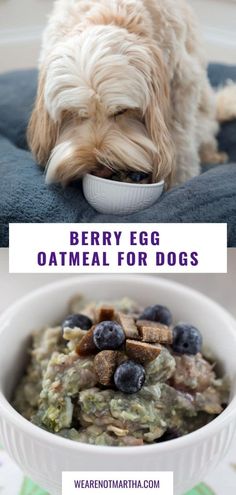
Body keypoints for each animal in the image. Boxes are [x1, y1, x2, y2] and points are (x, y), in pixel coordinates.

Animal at [27, 0, 234, 186]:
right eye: (75, 113)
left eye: (121, 111)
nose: (100, 169)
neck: (109, 12)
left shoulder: (183, 85)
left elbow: (180, 139)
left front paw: (177, 181)